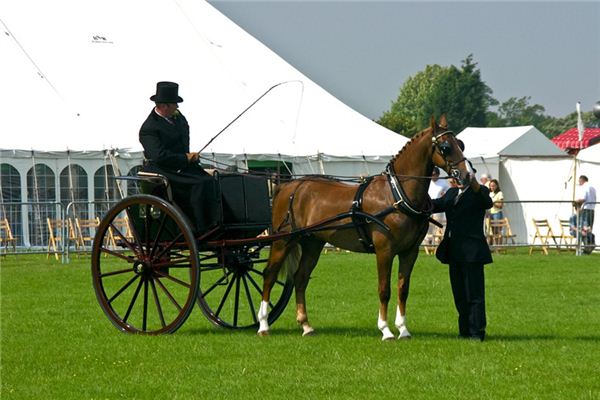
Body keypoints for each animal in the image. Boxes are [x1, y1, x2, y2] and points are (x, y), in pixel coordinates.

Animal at [255, 116, 472, 340]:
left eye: (460, 144)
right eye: (445, 147)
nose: (466, 176)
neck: (396, 195)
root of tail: (288, 186)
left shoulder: (410, 251)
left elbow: (403, 289)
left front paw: (403, 329)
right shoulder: (384, 250)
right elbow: (384, 289)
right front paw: (386, 330)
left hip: (312, 244)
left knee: (300, 278)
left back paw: (306, 325)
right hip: (283, 240)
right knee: (269, 275)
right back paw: (263, 324)